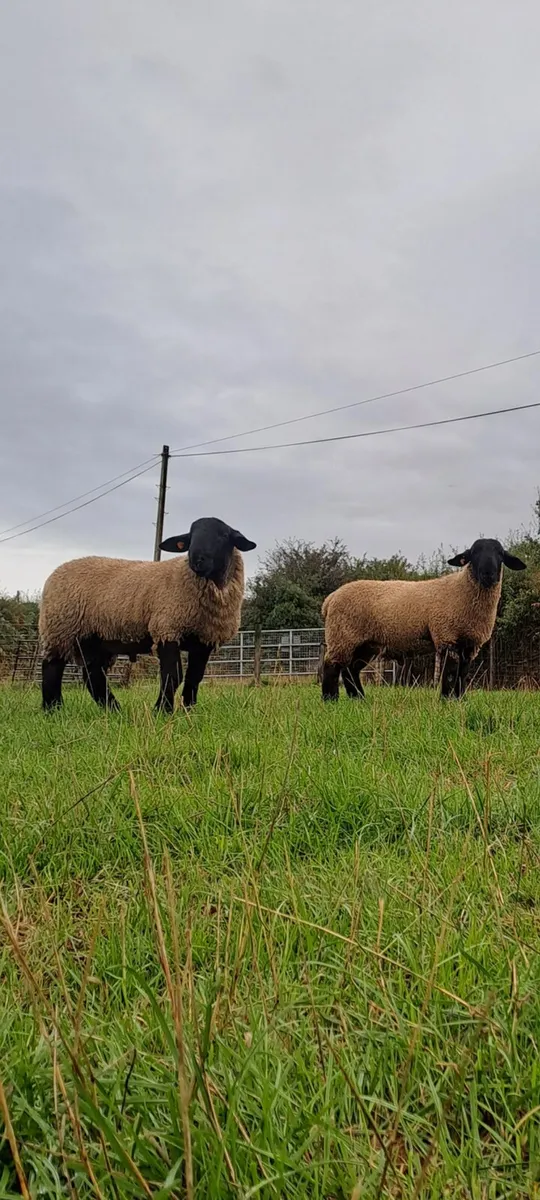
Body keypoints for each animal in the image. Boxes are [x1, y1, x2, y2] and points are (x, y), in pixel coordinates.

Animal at [39, 516, 256, 713]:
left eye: (223, 535)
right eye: (190, 537)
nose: (196, 560)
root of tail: (55, 572)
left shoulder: (204, 639)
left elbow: (195, 676)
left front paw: (188, 711)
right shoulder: (167, 628)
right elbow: (173, 674)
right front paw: (163, 710)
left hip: (92, 638)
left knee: (92, 674)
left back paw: (113, 710)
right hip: (60, 629)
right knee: (52, 668)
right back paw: (53, 709)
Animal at [321, 538, 526, 701]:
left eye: (500, 554)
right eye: (473, 553)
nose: (488, 574)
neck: (461, 590)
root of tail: (330, 599)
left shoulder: (469, 645)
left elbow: (462, 674)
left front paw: (460, 700)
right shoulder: (447, 636)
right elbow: (450, 673)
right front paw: (446, 701)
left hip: (365, 643)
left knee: (351, 669)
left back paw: (358, 698)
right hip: (343, 635)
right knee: (331, 665)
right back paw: (330, 700)